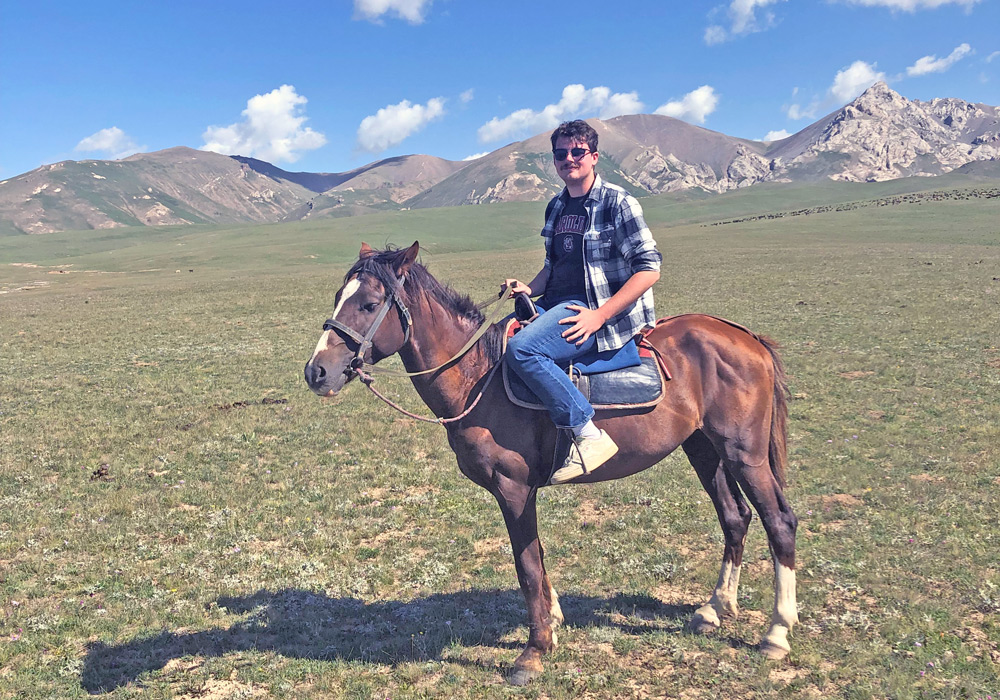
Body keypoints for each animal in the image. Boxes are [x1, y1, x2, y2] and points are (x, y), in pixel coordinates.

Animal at [304, 242, 796, 684]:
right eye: (338, 296)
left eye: (369, 304)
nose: (316, 372)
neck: (480, 378)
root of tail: (745, 336)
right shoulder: (522, 494)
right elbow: (537, 557)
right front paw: (554, 621)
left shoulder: (513, 489)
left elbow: (526, 567)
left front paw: (534, 651)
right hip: (703, 448)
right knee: (735, 517)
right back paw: (714, 609)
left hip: (744, 452)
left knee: (779, 521)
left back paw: (776, 633)